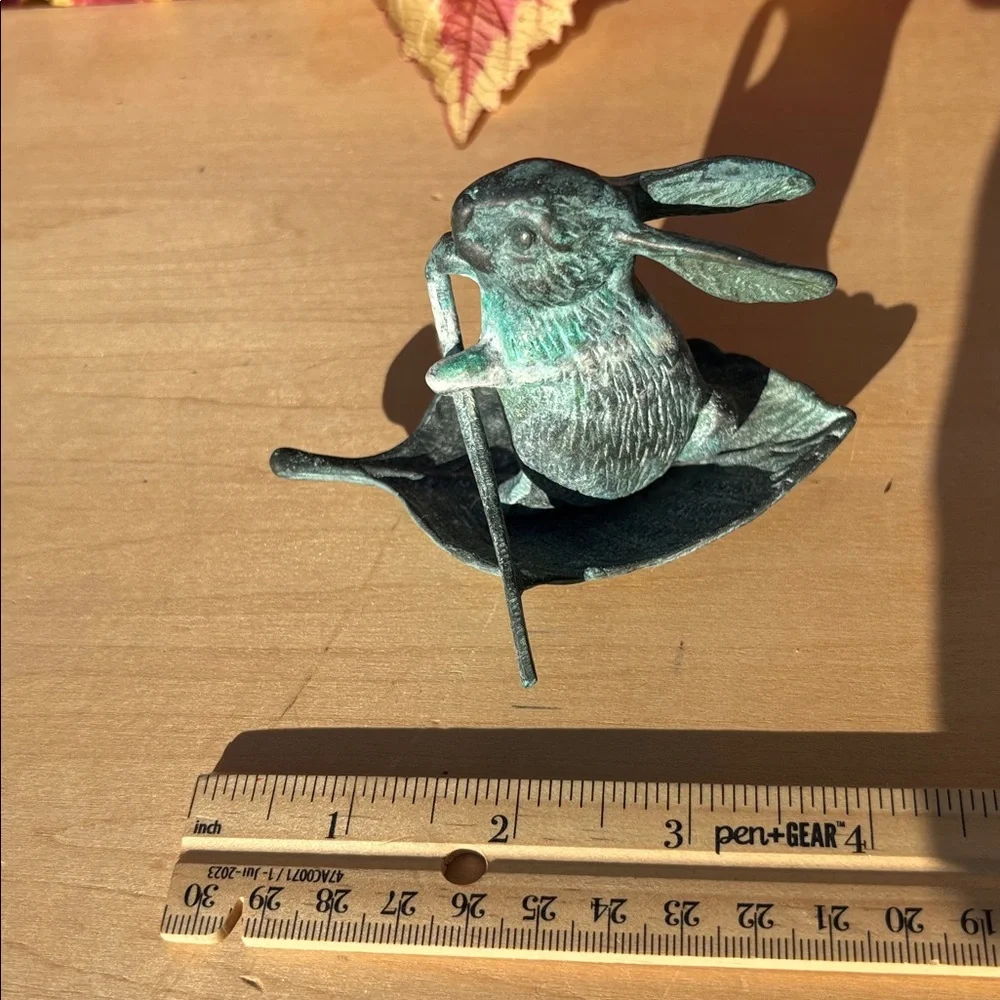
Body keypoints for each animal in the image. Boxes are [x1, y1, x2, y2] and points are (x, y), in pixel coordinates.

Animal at [424, 156, 836, 506]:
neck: (573, 301)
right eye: (521, 166)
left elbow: (467, 368)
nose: (460, 211)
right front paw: (442, 257)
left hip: (709, 419)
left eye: (525, 238)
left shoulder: (531, 358)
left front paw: (439, 373)